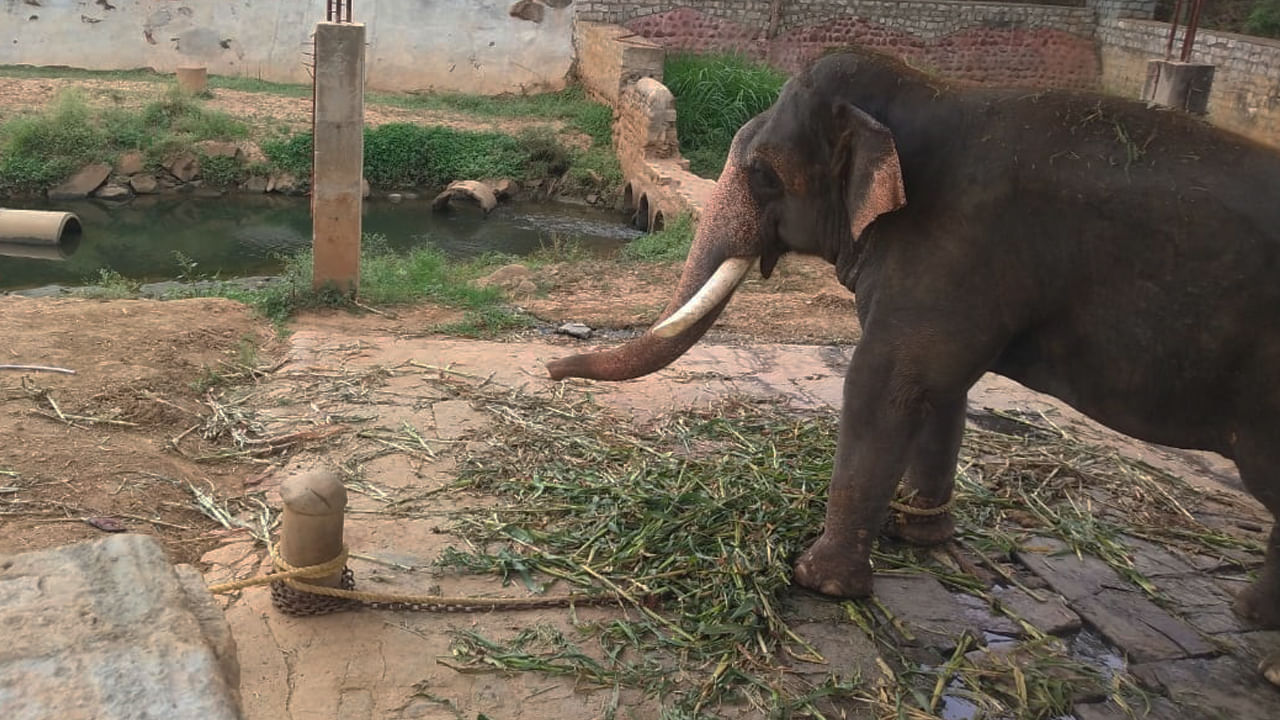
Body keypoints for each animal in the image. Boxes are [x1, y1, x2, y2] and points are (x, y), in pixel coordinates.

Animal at [545, 50, 1280, 676]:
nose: (552, 372)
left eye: (761, 173)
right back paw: (1248, 616)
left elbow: (885, 380)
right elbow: (940, 387)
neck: (929, 91)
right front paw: (917, 532)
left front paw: (817, 581)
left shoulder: (955, 247)